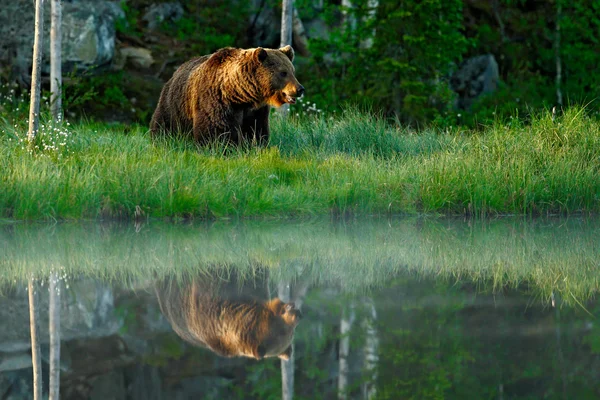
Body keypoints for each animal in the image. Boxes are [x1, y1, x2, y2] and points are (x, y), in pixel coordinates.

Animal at [150, 45, 304, 145]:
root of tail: (176, 72)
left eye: (292, 71)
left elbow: (256, 129)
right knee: (163, 124)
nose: (299, 89)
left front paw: (255, 145)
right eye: (283, 73)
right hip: (175, 106)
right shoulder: (217, 101)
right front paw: (223, 147)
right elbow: (216, 130)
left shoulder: (255, 110)